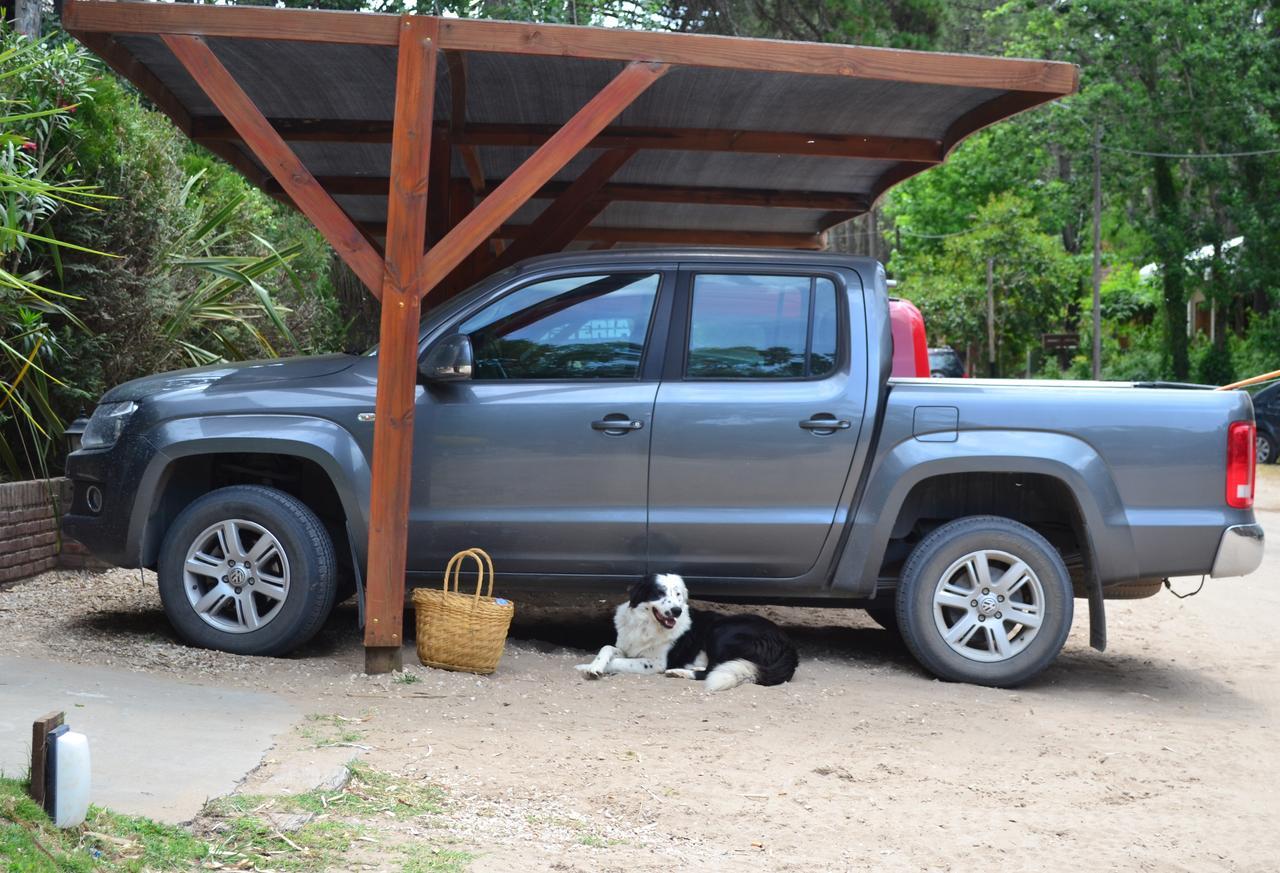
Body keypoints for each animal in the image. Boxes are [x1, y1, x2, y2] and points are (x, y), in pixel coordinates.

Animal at [576, 573, 793, 691]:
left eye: (677, 594)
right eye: (660, 592)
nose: (676, 611)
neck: (646, 624)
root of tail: (788, 646)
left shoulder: (656, 663)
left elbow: (619, 661)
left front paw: (589, 667)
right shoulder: (627, 647)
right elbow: (607, 648)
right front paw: (593, 666)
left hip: (721, 630)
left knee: (711, 671)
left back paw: (679, 671)